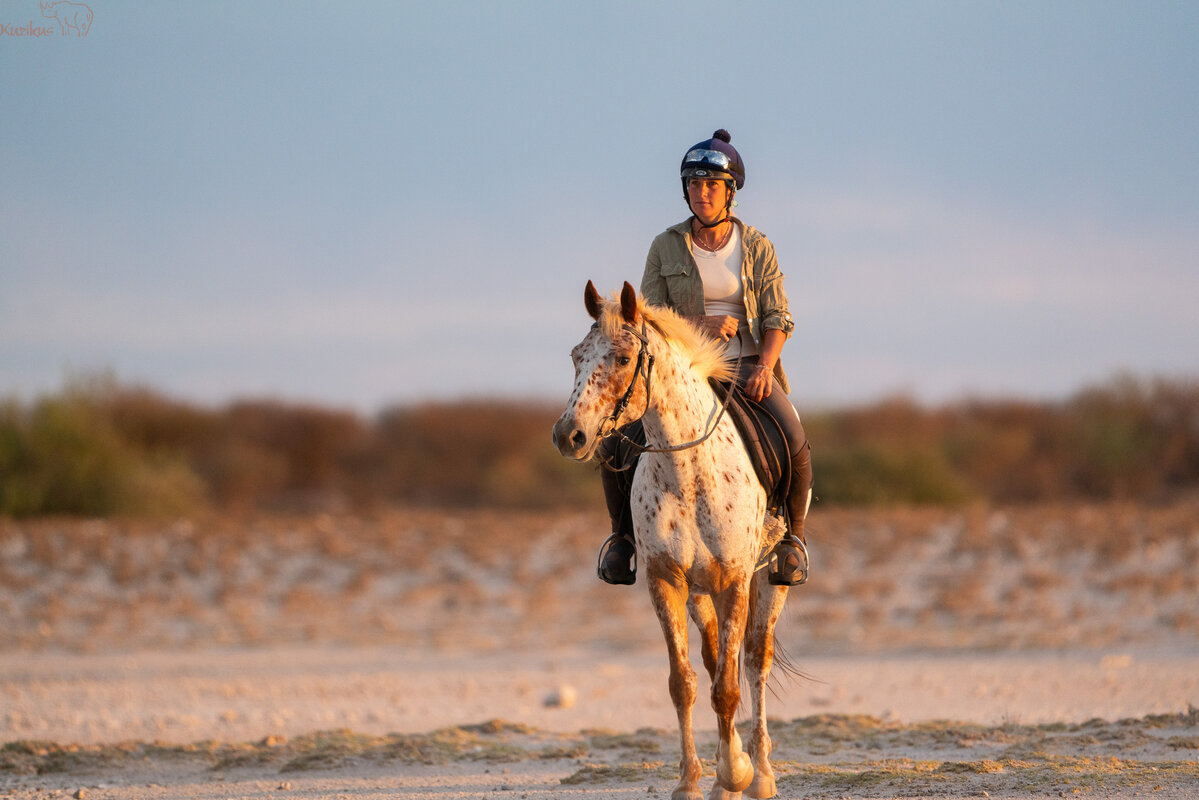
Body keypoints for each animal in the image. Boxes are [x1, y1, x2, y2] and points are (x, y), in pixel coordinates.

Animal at [552, 280, 792, 800]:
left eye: (624, 358)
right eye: (576, 355)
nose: (568, 435)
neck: (690, 473)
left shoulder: (736, 582)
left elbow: (730, 685)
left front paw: (737, 773)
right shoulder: (666, 582)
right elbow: (684, 684)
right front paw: (694, 781)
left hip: (770, 581)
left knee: (755, 659)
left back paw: (760, 772)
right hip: (700, 593)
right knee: (714, 658)